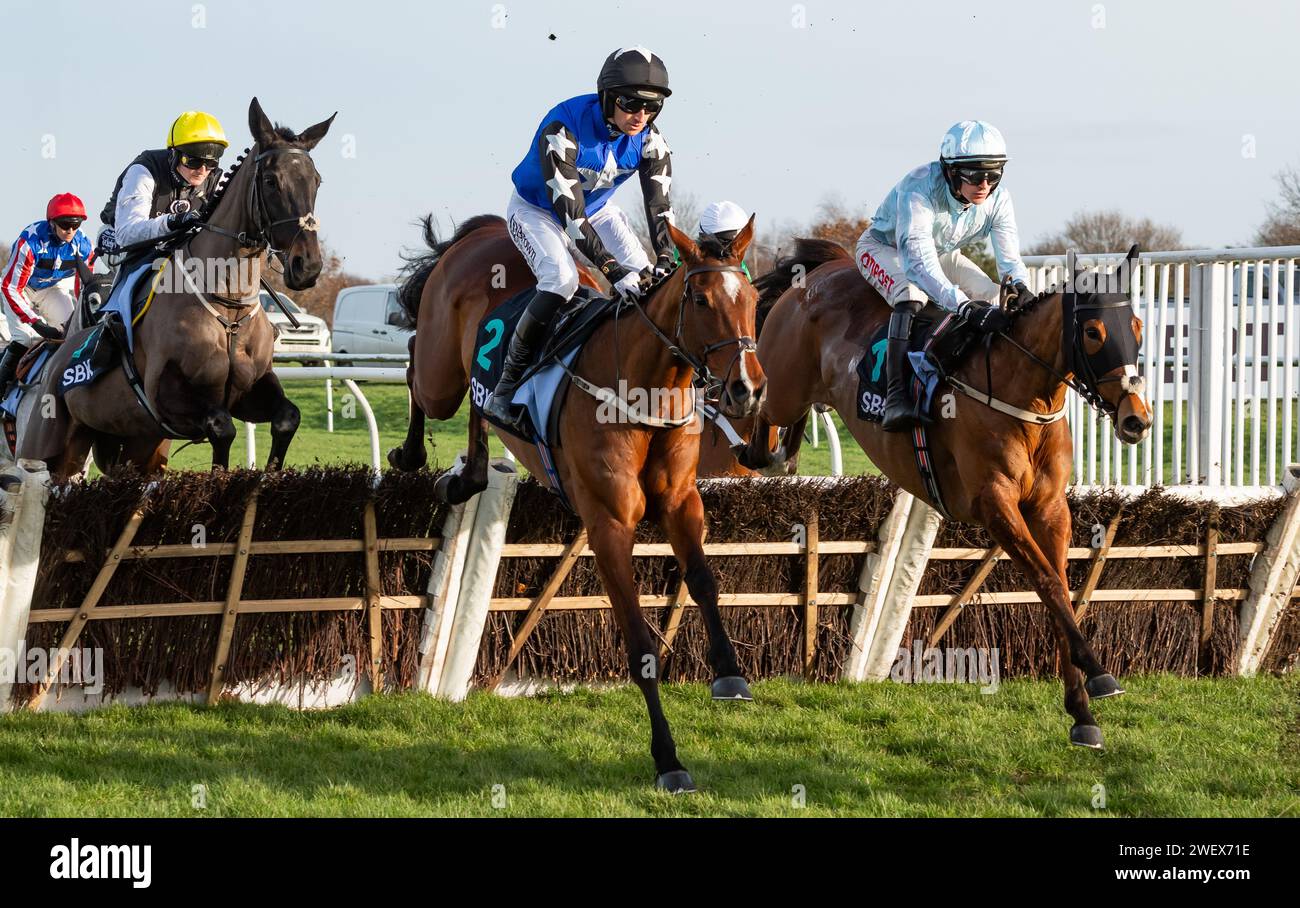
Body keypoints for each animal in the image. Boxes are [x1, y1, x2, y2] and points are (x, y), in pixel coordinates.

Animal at [17, 97, 332, 481]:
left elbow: (287, 417)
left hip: (135, 449)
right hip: (60, 445)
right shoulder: (166, 398)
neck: (229, 309)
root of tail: (57, 352)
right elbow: (222, 426)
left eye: (316, 181)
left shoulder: (250, 389)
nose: (308, 266)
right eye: (271, 181)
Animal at [390, 213, 764, 790]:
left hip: (467, 375)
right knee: (415, 365)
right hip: (440, 373)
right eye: (701, 300)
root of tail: (485, 230)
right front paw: (668, 760)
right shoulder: (609, 523)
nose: (748, 388)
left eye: (751, 296)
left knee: (478, 405)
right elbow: (641, 647)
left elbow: (703, 580)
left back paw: (466, 476)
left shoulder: (682, 503)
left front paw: (729, 674)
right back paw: (410, 453)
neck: (642, 393)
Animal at [738, 236, 1154, 744]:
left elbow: (1058, 588)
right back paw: (761, 444)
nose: (1137, 419)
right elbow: (1048, 583)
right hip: (785, 385)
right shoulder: (994, 503)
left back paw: (786, 453)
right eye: (1093, 332)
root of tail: (826, 267)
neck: (1021, 394)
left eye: (1136, 327)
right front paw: (1099, 673)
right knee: (763, 420)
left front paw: (1082, 713)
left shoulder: (1051, 508)